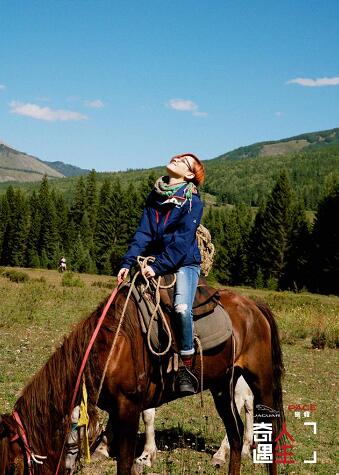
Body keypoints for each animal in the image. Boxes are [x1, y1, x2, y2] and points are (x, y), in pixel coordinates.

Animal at [0, 286, 286, 475]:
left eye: (13, 467)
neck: (111, 349)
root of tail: (254, 306)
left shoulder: (128, 408)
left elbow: (126, 463)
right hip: (222, 386)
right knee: (235, 434)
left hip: (260, 380)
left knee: (267, 431)